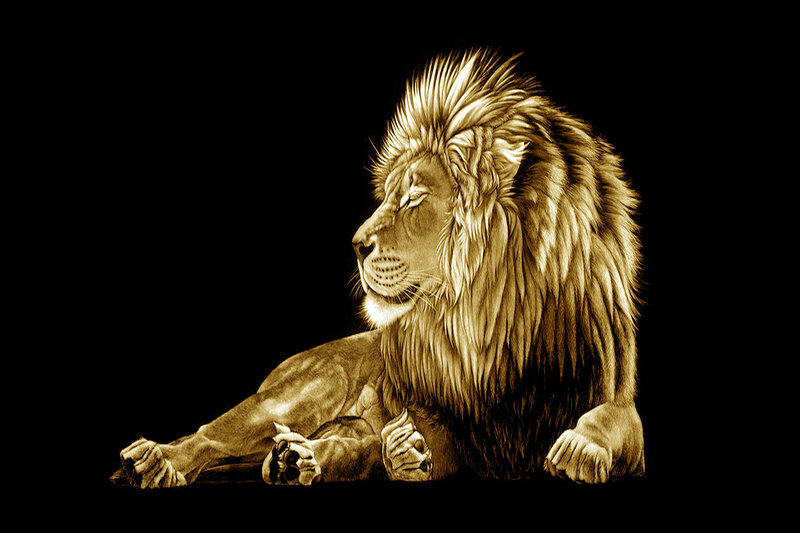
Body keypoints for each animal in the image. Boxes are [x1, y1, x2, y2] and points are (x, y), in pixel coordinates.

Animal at [114, 50, 645, 488]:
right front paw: (408, 451)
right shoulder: (454, 418)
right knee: (211, 435)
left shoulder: (614, 394)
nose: (356, 245)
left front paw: (582, 447)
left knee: (331, 447)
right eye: (391, 194)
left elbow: (615, 418)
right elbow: (429, 439)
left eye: (414, 197)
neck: (497, 325)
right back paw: (156, 462)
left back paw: (293, 461)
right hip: (294, 396)